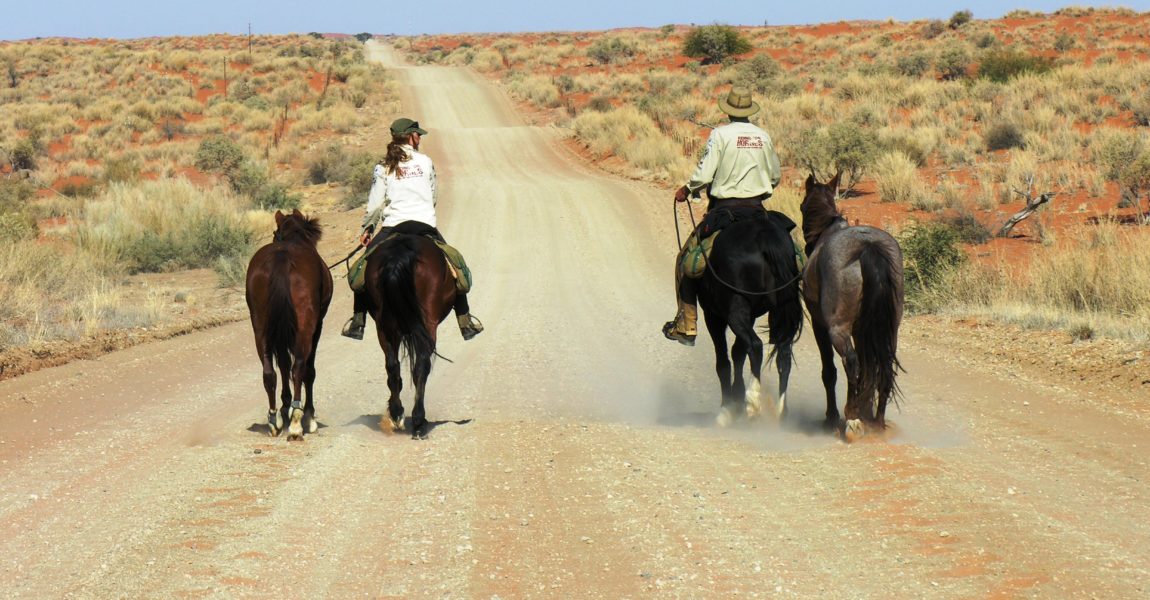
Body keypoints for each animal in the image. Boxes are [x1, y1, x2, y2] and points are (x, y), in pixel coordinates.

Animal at [243, 210, 331, 439]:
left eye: (275, 233)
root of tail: (282, 257)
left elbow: (282, 364)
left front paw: (284, 406)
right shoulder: (317, 327)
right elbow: (308, 370)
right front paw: (308, 416)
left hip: (260, 326)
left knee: (269, 373)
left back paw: (274, 420)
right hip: (305, 327)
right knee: (299, 368)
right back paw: (298, 422)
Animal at [361, 231, 455, 436]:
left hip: (384, 326)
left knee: (392, 365)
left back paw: (397, 414)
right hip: (427, 324)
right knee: (422, 365)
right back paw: (419, 421)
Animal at [694, 210, 805, 425]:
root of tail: (765, 237)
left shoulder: (713, 316)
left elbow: (724, 361)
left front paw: (728, 408)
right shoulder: (751, 315)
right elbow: (738, 353)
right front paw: (736, 399)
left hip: (735, 310)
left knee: (755, 345)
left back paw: (753, 402)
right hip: (778, 309)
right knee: (783, 353)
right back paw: (781, 411)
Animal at [800, 172, 906, 439]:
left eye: (802, 205)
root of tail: (868, 247)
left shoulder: (819, 325)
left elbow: (829, 371)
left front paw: (832, 416)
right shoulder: (862, 330)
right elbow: (869, 368)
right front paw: (865, 408)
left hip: (837, 329)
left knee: (851, 362)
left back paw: (852, 417)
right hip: (890, 328)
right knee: (883, 366)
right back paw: (876, 420)